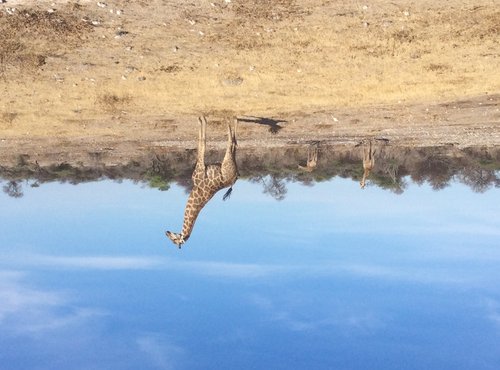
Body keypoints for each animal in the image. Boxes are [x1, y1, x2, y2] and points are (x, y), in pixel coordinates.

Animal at [166, 115, 238, 249]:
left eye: (174, 240)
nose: (166, 232)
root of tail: (235, 178)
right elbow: (201, 142)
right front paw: (201, 119)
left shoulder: (199, 168)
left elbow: (202, 142)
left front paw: (201, 119)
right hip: (229, 160)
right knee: (235, 143)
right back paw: (233, 119)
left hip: (226, 161)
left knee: (231, 142)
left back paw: (227, 119)